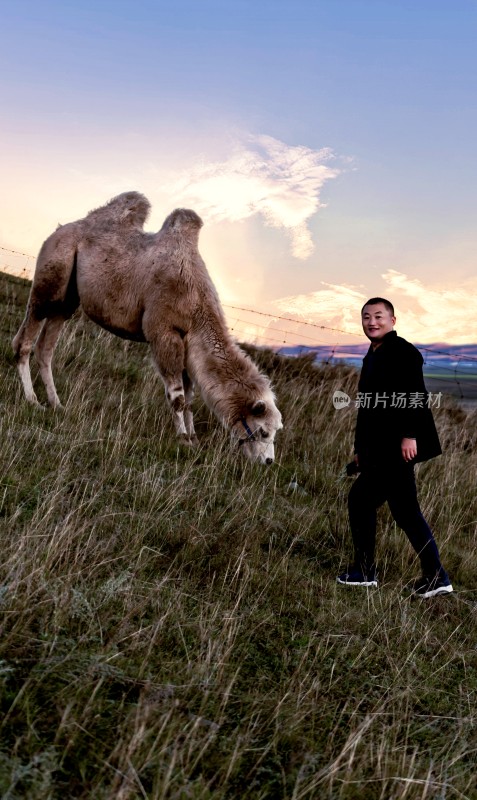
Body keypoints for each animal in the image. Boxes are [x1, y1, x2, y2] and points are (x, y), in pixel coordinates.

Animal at [12, 192, 282, 462]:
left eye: (275, 431)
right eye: (263, 431)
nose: (268, 461)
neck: (196, 302)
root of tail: (61, 229)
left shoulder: (186, 344)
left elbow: (190, 397)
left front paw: (194, 438)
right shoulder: (163, 332)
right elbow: (178, 396)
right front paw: (183, 439)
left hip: (67, 301)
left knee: (45, 348)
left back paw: (56, 403)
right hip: (52, 270)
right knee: (25, 339)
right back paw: (32, 400)